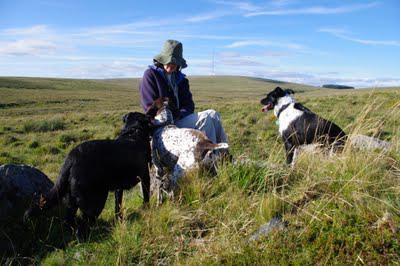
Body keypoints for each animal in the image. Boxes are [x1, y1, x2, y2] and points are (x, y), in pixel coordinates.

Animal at [23, 112, 152, 239]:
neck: (133, 132)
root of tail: (72, 157)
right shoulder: (145, 177)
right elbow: (146, 197)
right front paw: (147, 210)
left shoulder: (118, 188)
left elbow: (118, 205)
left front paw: (119, 220)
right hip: (96, 200)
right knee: (82, 227)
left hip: (71, 201)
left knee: (69, 222)